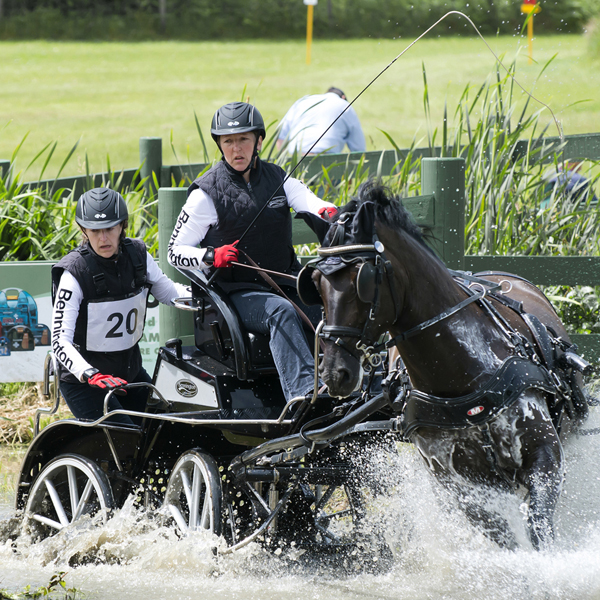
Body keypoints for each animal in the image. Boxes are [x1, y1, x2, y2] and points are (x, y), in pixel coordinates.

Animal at [296, 184, 592, 552]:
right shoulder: (458, 487)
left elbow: (538, 528)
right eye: (315, 282)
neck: (464, 377)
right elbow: (505, 538)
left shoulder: (545, 456)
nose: (335, 373)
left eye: (361, 279)